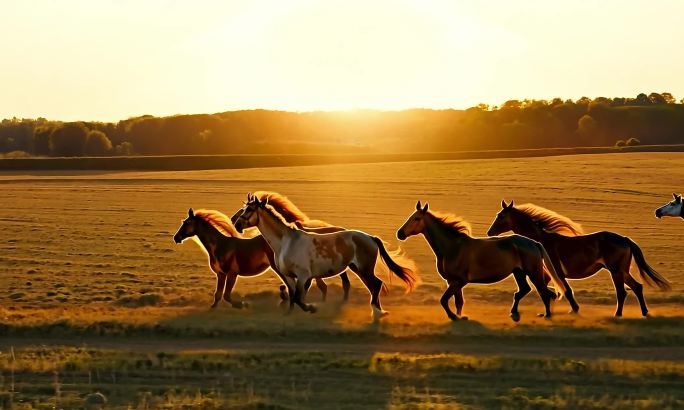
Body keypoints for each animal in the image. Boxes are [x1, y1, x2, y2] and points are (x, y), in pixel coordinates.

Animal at [234, 194, 416, 318]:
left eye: (249, 209)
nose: (237, 225)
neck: (286, 242)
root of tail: (370, 238)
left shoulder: (303, 275)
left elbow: (299, 298)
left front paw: (312, 308)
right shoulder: (291, 276)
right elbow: (292, 296)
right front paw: (289, 314)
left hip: (364, 269)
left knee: (376, 285)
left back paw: (377, 312)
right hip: (358, 268)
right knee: (373, 286)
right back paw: (378, 311)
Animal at [396, 200, 568, 322]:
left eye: (416, 218)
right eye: (410, 217)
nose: (400, 233)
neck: (452, 247)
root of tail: (534, 243)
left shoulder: (460, 281)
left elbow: (444, 300)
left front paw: (454, 316)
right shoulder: (452, 281)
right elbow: (458, 302)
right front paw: (461, 316)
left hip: (533, 272)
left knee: (545, 292)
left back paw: (546, 315)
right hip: (518, 272)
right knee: (526, 290)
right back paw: (515, 313)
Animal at [486, 202, 672, 318]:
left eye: (500, 216)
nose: (489, 232)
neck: (542, 241)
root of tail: (625, 239)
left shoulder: (557, 272)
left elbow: (564, 291)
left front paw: (573, 310)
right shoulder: (547, 275)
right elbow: (547, 290)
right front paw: (548, 311)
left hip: (616, 271)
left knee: (622, 292)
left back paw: (618, 314)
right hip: (622, 271)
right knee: (637, 287)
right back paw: (644, 312)